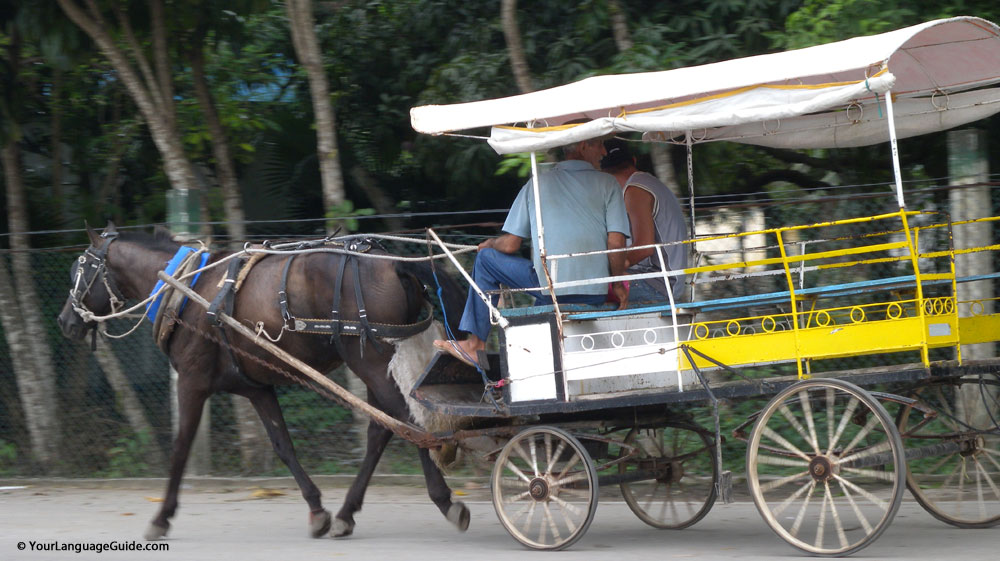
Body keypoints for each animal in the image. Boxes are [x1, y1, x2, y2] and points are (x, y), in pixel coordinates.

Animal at [56, 222, 470, 540]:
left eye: (80, 272)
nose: (65, 321)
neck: (186, 290)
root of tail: (394, 263)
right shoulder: (254, 387)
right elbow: (283, 445)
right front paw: (317, 510)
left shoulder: (190, 381)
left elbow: (180, 448)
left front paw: (161, 518)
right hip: (377, 361)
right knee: (381, 429)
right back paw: (345, 514)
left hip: (368, 358)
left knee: (407, 421)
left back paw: (445, 500)